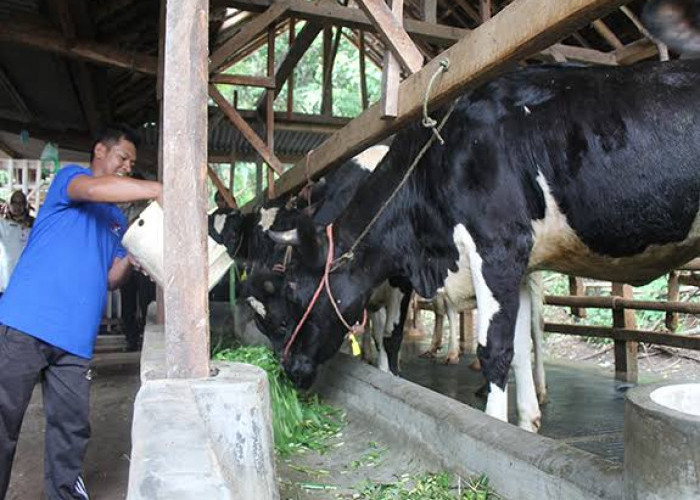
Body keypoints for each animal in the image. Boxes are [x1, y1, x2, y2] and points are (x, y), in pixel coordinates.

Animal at [254, 60, 700, 432]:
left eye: (292, 289)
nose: (288, 369)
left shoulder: (498, 248)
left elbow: (493, 349)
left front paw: (494, 424)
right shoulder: (519, 266)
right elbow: (516, 348)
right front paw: (526, 425)